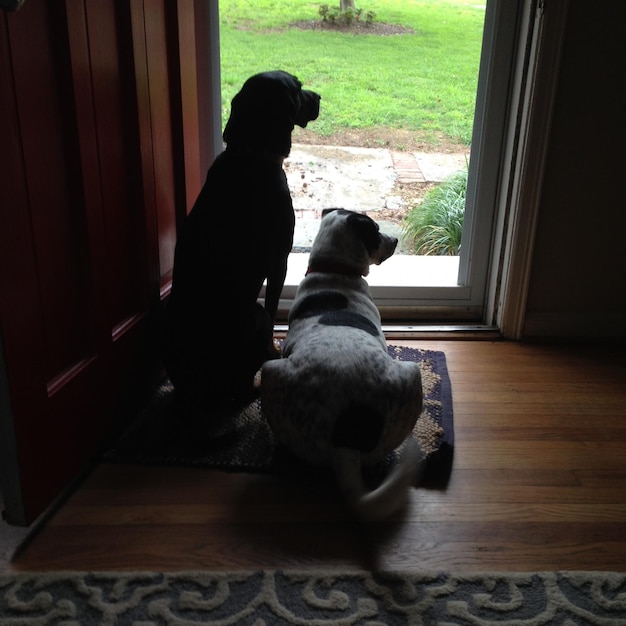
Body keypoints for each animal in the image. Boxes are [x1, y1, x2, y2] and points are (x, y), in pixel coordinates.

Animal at [161, 69, 320, 414]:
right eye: (298, 89)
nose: (318, 97)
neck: (251, 152)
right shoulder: (280, 261)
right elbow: (274, 311)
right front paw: (276, 348)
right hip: (253, 316)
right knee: (243, 387)